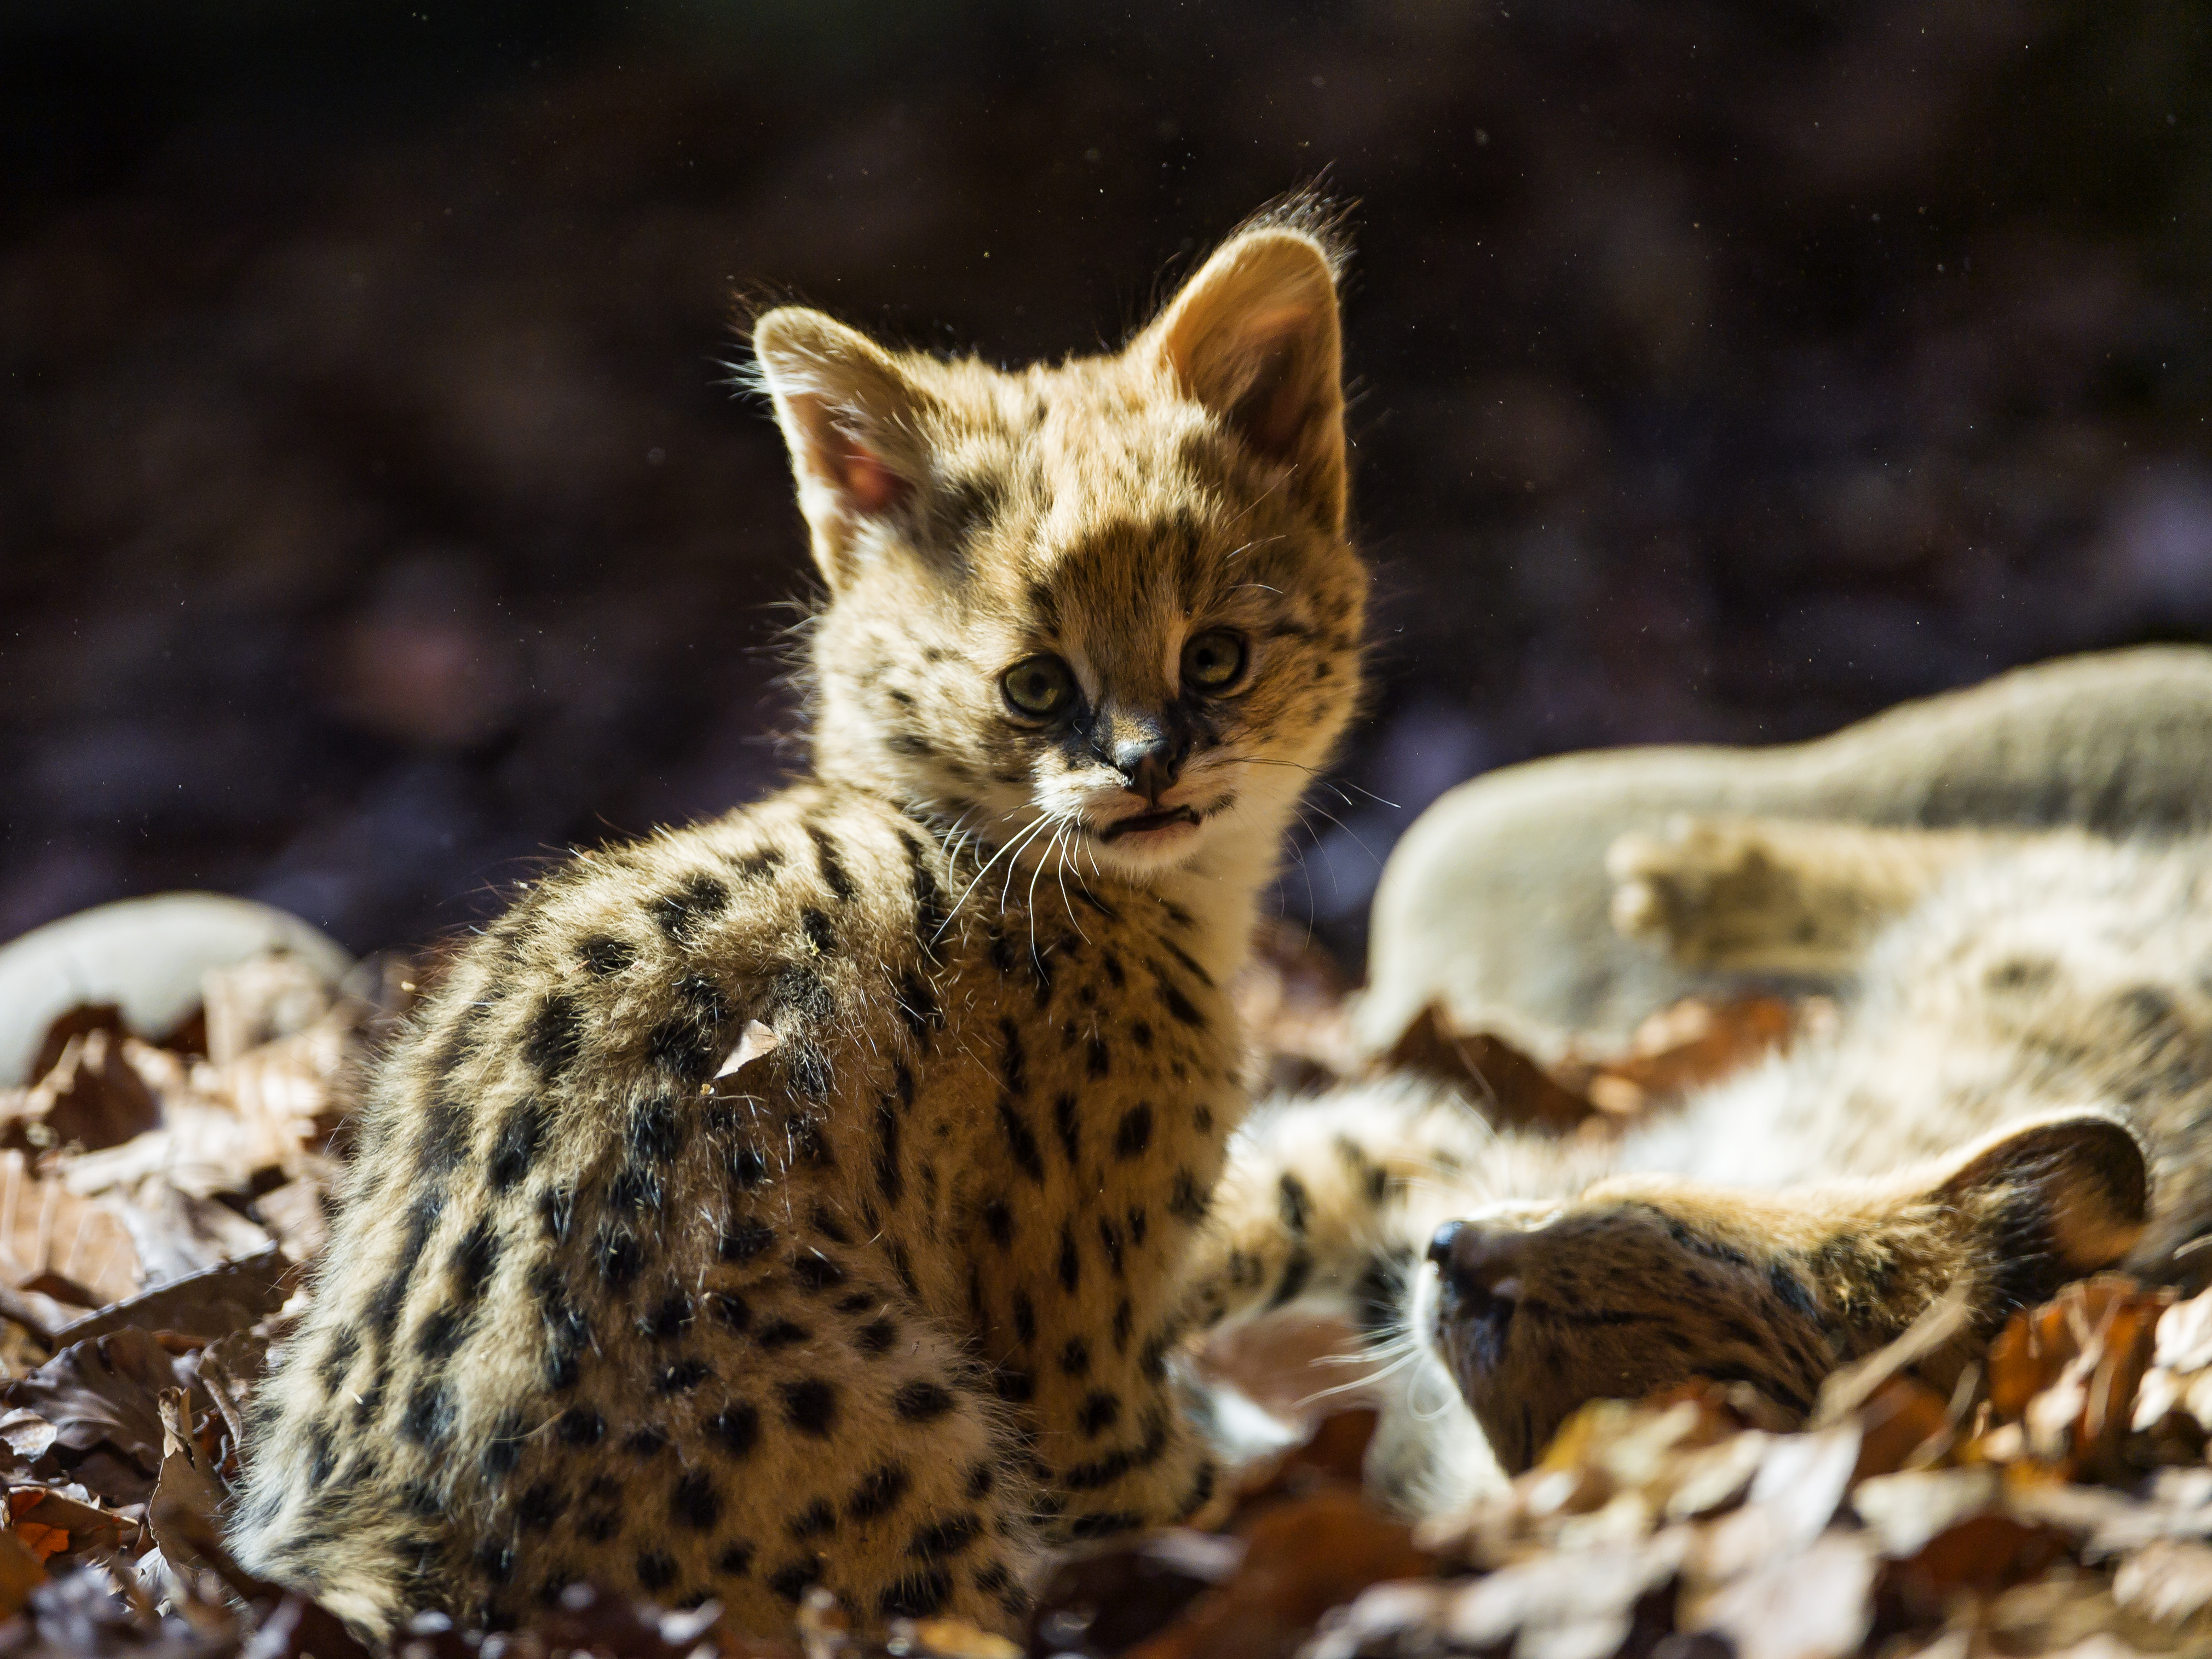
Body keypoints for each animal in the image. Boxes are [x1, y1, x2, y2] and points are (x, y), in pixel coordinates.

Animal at [229, 214, 1362, 1645]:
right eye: (1033, 686)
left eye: (1216, 657)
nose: (1147, 767)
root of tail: (381, 1540)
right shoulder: (1082, 1382)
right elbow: (1215, 1499)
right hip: (912, 1424)